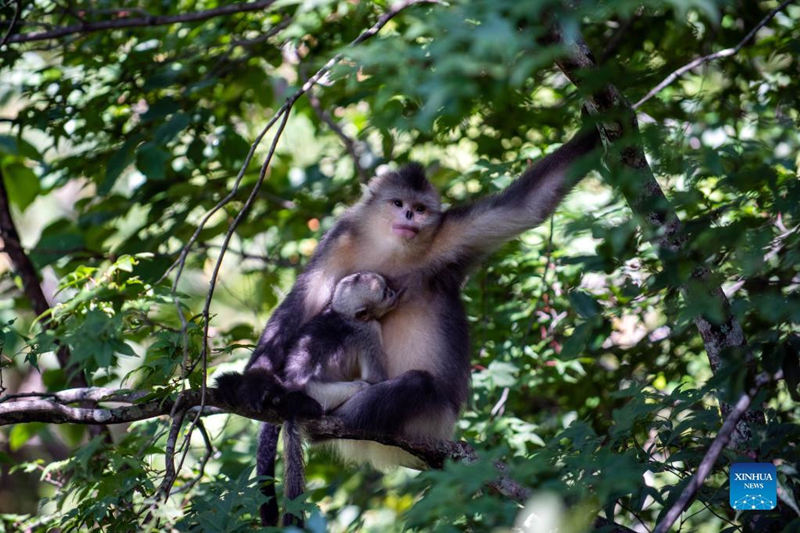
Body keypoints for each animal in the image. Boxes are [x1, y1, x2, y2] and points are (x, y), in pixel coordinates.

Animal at [225, 125, 600, 524]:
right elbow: (304, 299)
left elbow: (528, 205)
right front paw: (255, 381)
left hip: (431, 419)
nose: (408, 214)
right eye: (397, 202)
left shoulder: (453, 235)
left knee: (415, 386)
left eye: (420, 209)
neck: (394, 250)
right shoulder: (341, 238)